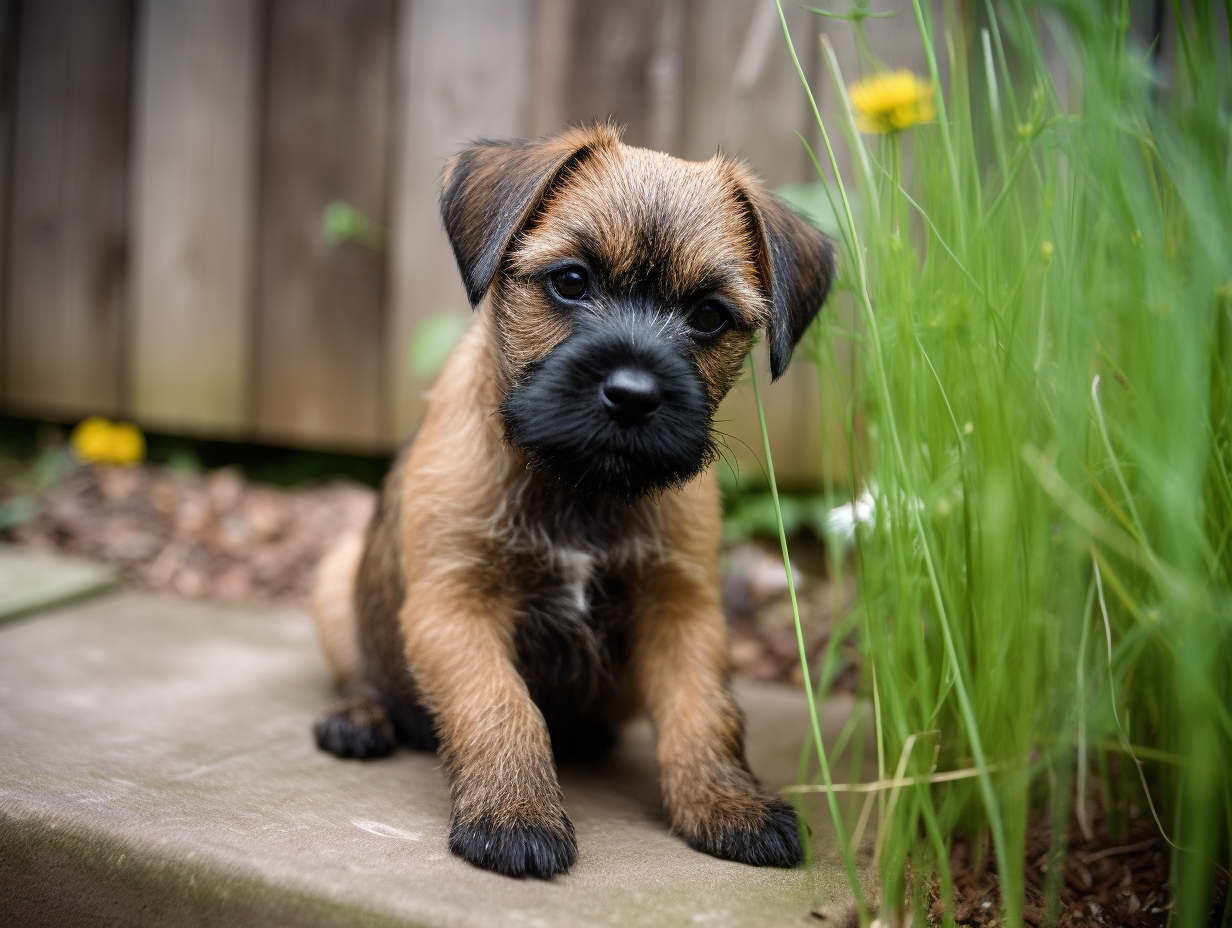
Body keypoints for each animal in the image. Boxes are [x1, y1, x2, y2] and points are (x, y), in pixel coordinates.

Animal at [310, 123, 837, 877]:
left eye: (710, 315)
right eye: (570, 281)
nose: (633, 394)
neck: (580, 487)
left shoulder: (682, 608)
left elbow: (705, 712)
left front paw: (726, 803)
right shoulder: (456, 602)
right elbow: (500, 703)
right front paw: (515, 815)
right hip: (335, 577)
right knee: (361, 669)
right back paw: (360, 717)